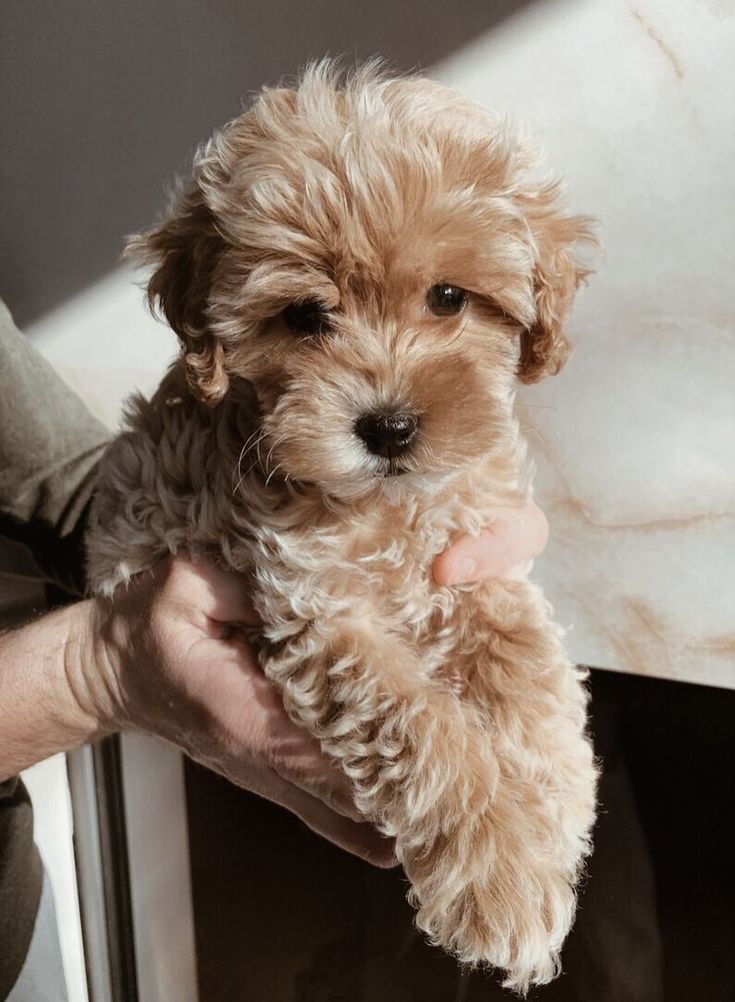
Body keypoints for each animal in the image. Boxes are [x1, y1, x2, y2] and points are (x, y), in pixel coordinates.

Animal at [89, 62, 600, 993]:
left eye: (448, 298)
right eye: (303, 316)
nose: (388, 428)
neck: (388, 506)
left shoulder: (476, 554)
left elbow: (521, 659)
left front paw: (556, 801)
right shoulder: (317, 607)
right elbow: (422, 728)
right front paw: (503, 879)